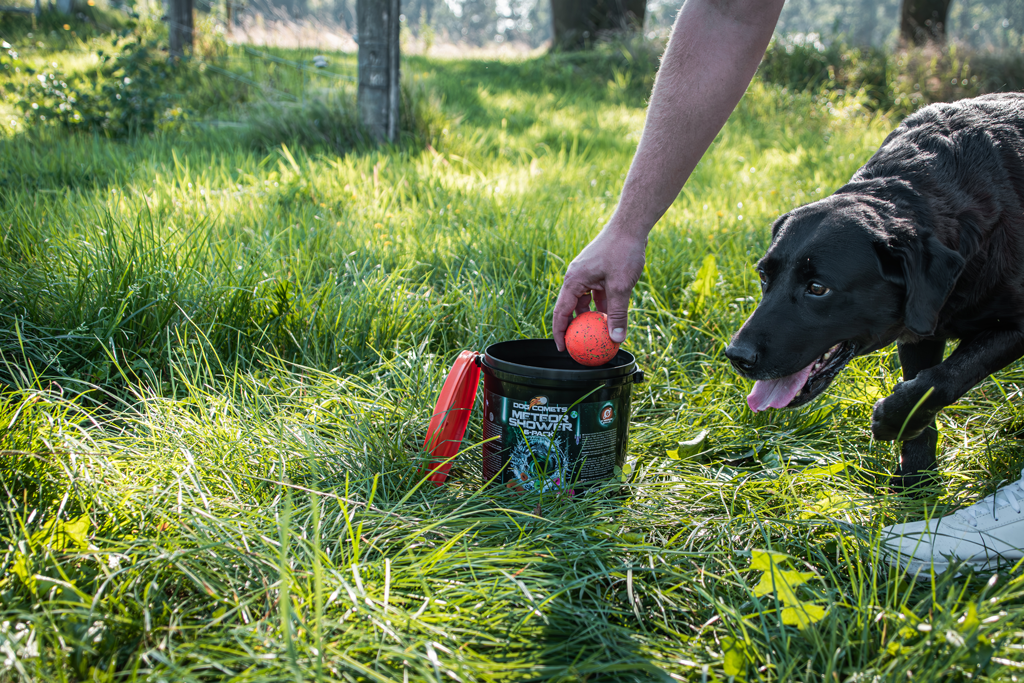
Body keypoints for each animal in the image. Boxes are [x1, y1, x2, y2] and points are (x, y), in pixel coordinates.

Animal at [724, 93, 1024, 491]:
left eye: (817, 288)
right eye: (763, 276)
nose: (736, 356)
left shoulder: (1014, 326)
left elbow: (944, 378)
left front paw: (891, 421)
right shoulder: (919, 332)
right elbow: (923, 385)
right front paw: (915, 480)